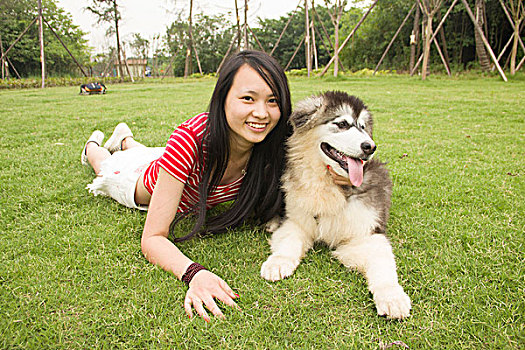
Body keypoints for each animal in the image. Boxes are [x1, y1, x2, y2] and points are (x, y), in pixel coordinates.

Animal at [260, 91, 412, 320]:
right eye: (342, 124)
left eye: (363, 127)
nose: (370, 147)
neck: (328, 183)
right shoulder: (298, 221)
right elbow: (289, 242)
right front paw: (278, 262)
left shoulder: (365, 234)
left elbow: (383, 263)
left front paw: (392, 296)